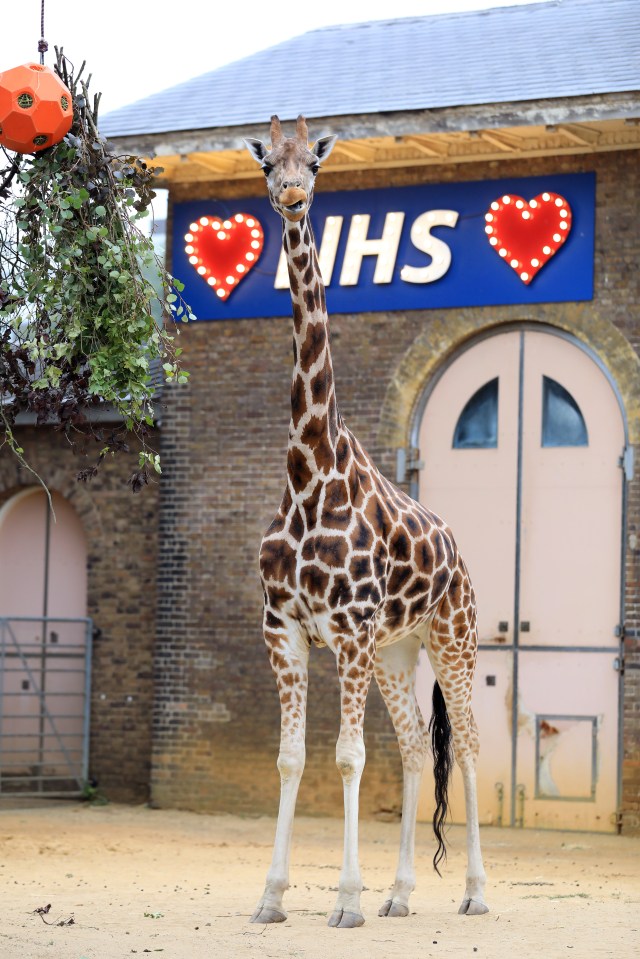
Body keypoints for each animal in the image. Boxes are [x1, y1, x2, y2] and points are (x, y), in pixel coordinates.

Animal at [242, 114, 488, 928]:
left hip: (453, 639)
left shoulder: (347, 631)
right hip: (396, 651)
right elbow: (291, 757)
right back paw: (400, 893)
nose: (292, 197)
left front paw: (343, 901)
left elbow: (348, 757)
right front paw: (272, 896)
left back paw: (474, 891)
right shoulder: (285, 630)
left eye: (315, 163)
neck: (308, 470)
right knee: (414, 748)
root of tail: (461, 557)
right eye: (268, 161)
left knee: (467, 744)